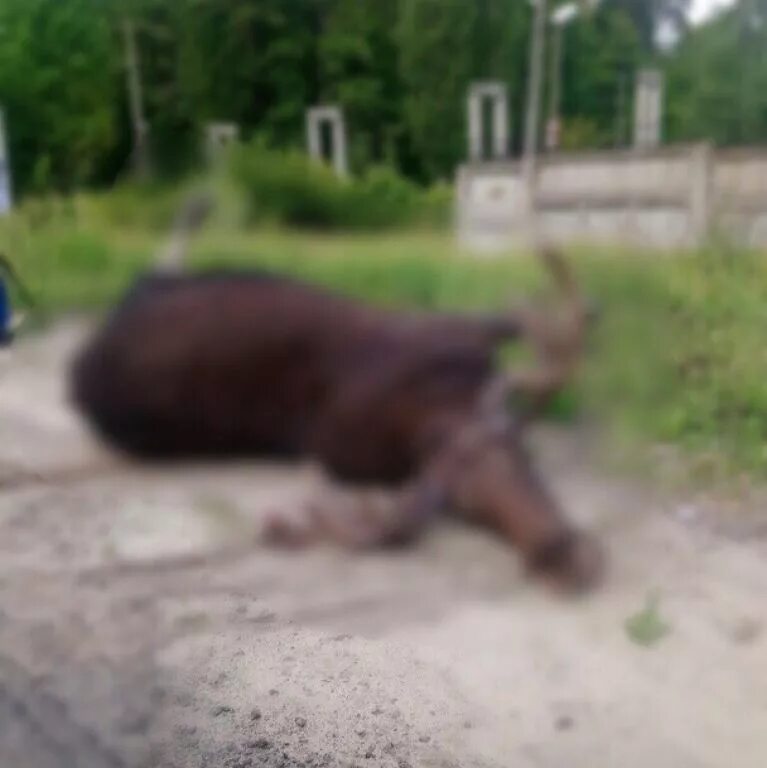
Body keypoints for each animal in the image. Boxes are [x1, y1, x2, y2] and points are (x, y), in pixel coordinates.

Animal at [69, 243, 604, 592]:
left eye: (523, 455)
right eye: (464, 506)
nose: (563, 555)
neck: (438, 398)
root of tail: (80, 368)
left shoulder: (452, 336)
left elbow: (503, 320)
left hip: (163, 287)